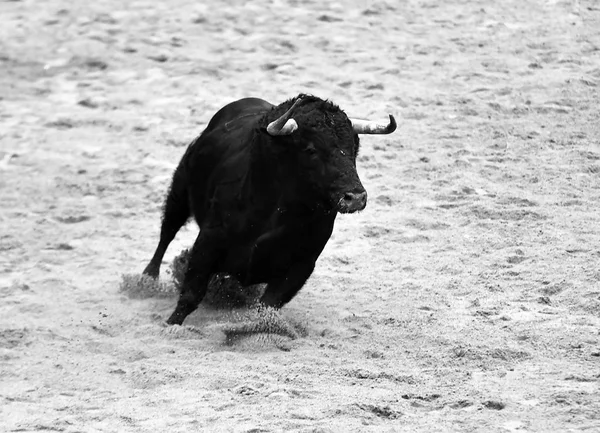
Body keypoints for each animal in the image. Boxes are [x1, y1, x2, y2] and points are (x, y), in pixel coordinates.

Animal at [143, 94, 396, 324]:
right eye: (311, 149)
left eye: (354, 148)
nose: (355, 197)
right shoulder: (208, 242)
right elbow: (191, 294)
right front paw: (171, 325)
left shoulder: (302, 264)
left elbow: (267, 307)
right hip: (180, 188)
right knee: (167, 231)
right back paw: (147, 279)